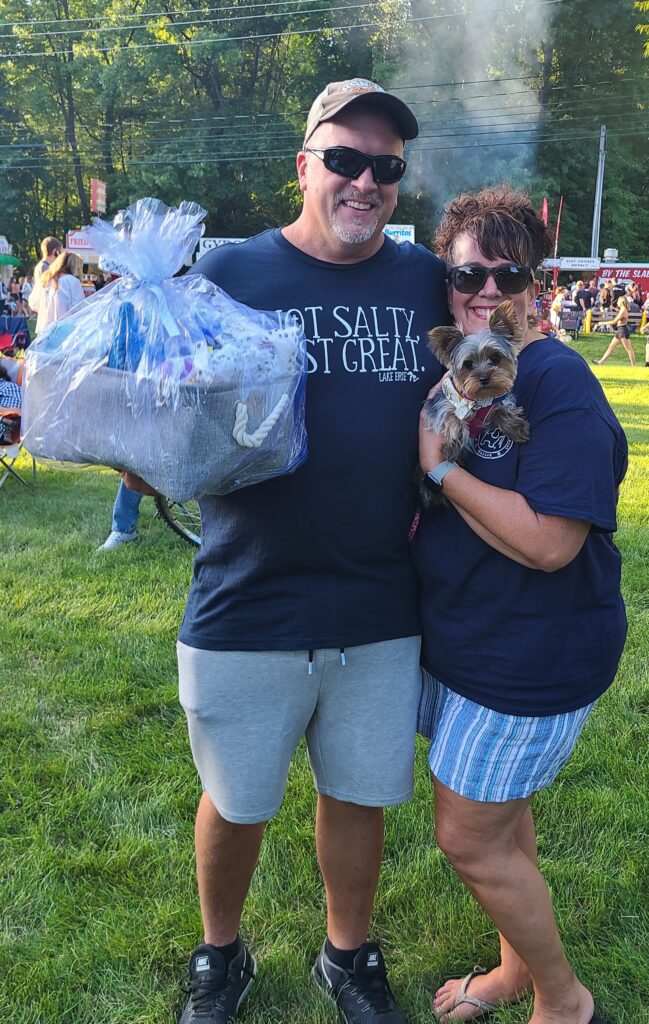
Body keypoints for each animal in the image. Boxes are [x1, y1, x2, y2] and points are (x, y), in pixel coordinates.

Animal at [419, 299, 524, 505]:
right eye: (468, 364)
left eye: (495, 358)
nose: (484, 378)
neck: (477, 401)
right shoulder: (440, 405)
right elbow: (454, 420)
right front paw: (452, 448)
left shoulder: (494, 403)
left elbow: (501, 409)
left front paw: (516, 427)